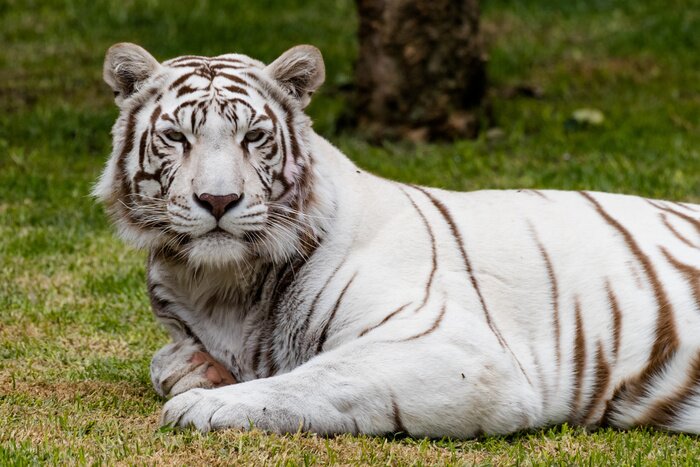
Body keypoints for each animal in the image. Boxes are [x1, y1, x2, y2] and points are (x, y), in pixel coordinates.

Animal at [94, 42, 700, 437]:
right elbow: (165, 362)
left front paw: (205, 405)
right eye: (177, 137)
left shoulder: (460, 352)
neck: (219, 284)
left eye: (255, 137)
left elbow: (319, 377)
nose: (218, 201)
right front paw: (196, 371)